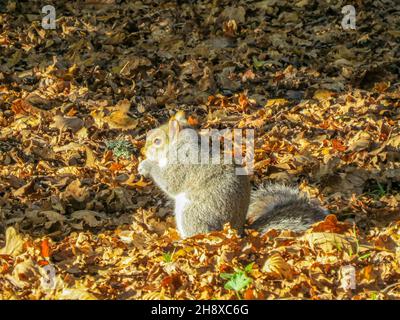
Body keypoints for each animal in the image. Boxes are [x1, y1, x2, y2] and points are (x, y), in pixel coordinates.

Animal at [139, 110, 326, 238]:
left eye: (157, 141)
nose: (143, 151)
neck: (180, 145)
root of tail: (237, 232)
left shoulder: (183, 165)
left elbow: (170, 182)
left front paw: (147, 165)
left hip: (192, 213)